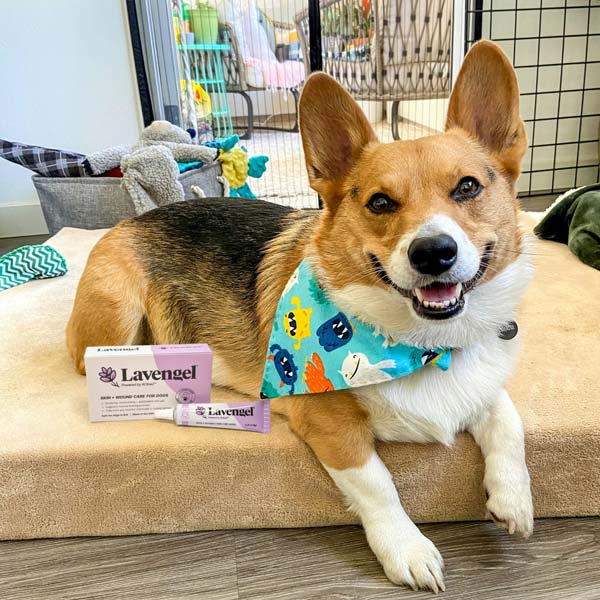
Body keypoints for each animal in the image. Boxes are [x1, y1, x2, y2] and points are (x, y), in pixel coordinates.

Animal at [68, 41, 532, 592]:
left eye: (467, 188)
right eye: (380, 202)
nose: (433, 253)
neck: (421, 345)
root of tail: (130, 219)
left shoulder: (483, 384)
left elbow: (508, 419)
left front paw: (514, 499)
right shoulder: (330, 426)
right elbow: (378, 485)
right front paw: (407, 549)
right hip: (118, 313)